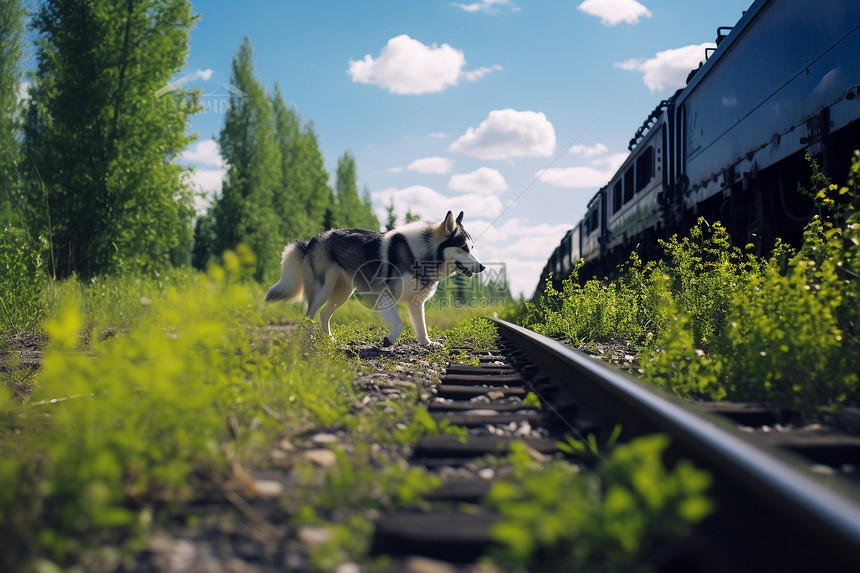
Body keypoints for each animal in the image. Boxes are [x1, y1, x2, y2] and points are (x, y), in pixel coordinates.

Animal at [264, 210, 484, 344]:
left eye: (472, 248)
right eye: (463, 248)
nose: (482, 267)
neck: (421, 255)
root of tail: (311, 240)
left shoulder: (415, 303)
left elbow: (421, 328)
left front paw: (428, 344)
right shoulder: (382, 294)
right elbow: (398, 323)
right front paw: (389, 341)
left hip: (342, 292)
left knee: (323, 315)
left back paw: (330, 340)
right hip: (323, 290)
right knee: (307, 317)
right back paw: (307, 341)